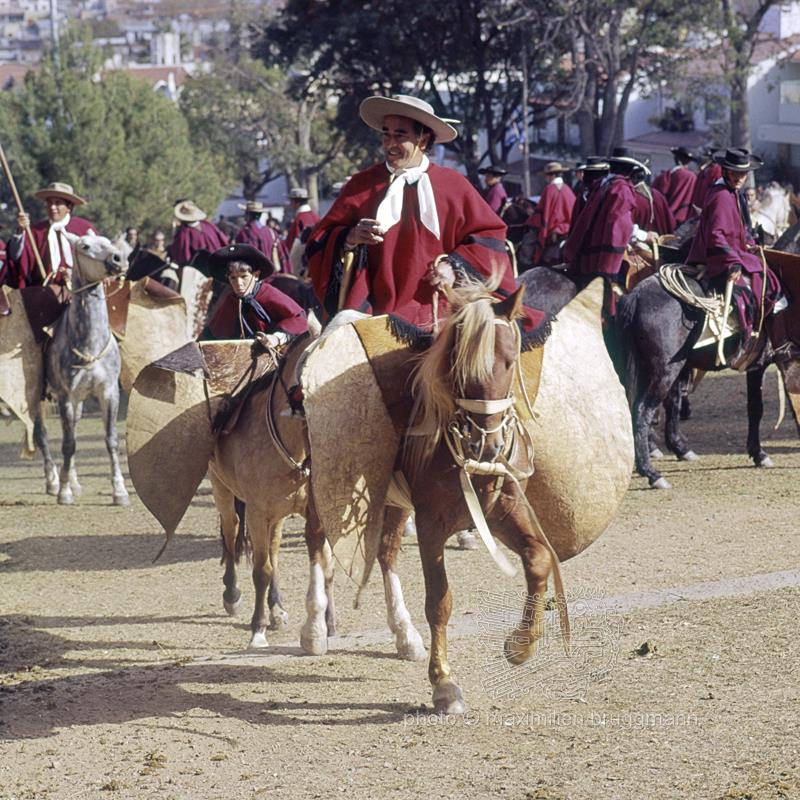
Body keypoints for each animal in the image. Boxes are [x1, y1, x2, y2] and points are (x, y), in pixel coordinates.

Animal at [34, 233, 130, 506]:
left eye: (108, 242)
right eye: (84, 246)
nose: (118, 259)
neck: (89, 342)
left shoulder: (108, 393)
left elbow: (111, 440)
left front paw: (120, 490)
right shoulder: (67, 396)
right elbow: (68, 444)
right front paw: (64, 492)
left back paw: (73, 480)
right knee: (41, 434)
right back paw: (54, 480)